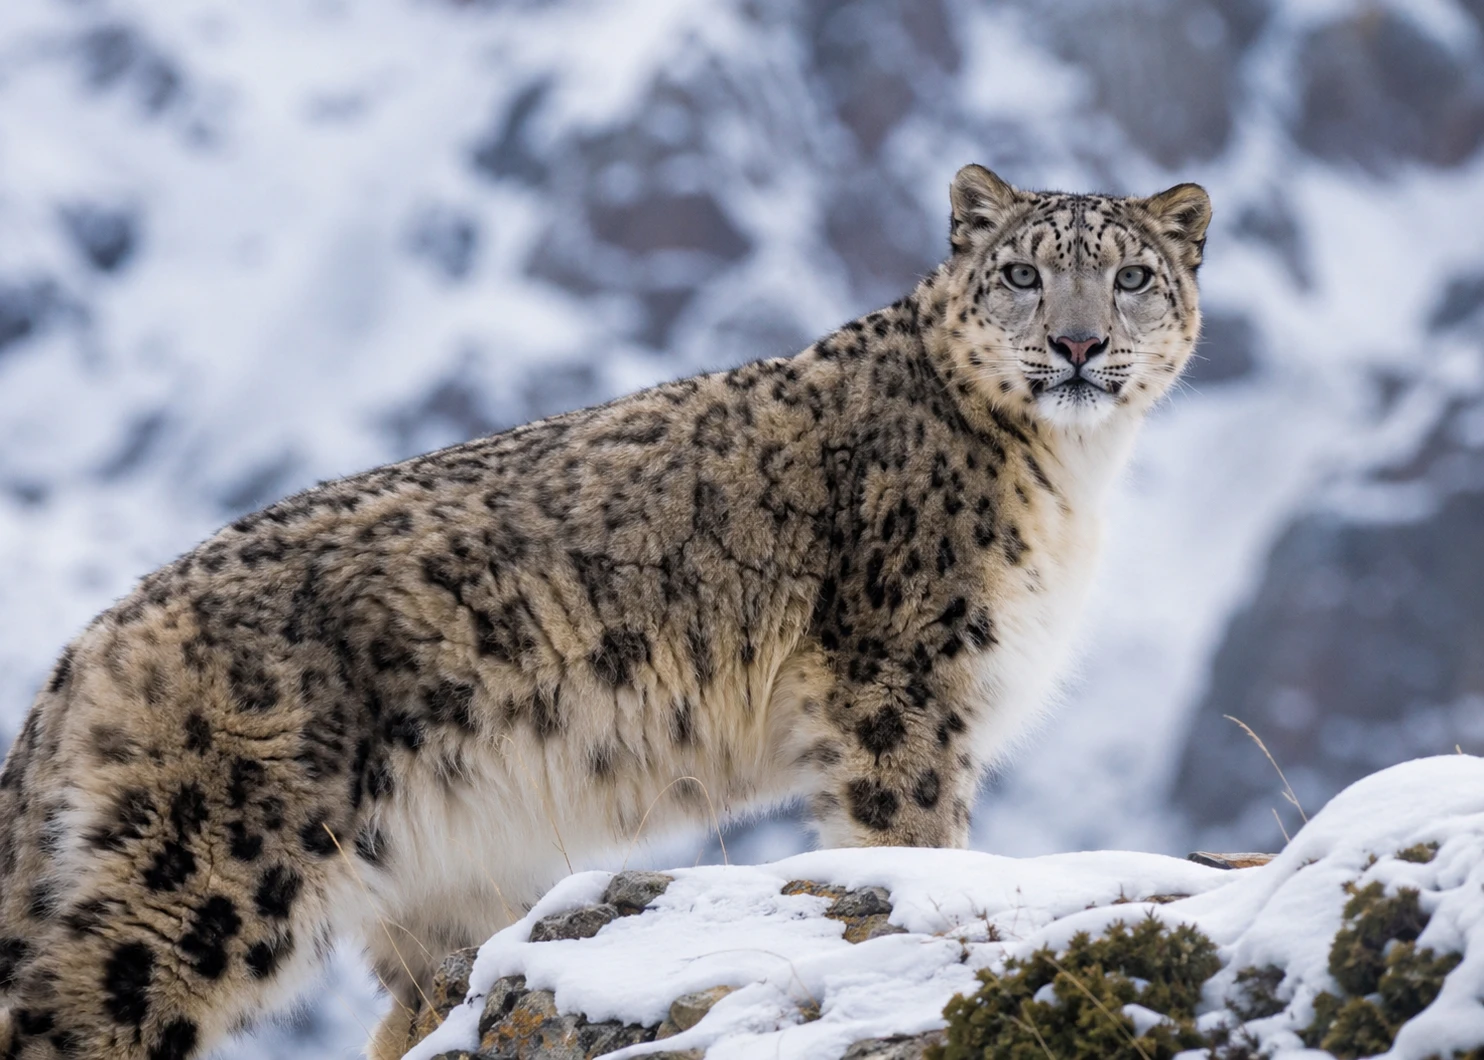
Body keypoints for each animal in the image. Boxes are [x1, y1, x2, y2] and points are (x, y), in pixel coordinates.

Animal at [0, 165, 1210, 1060]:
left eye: (1132, 277)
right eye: (1021, 273)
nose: (1076, 345)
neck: (1068, 478)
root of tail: (93, 639)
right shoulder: (904, 680)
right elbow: (908, 833)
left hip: (442, 886)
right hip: (214, 868)